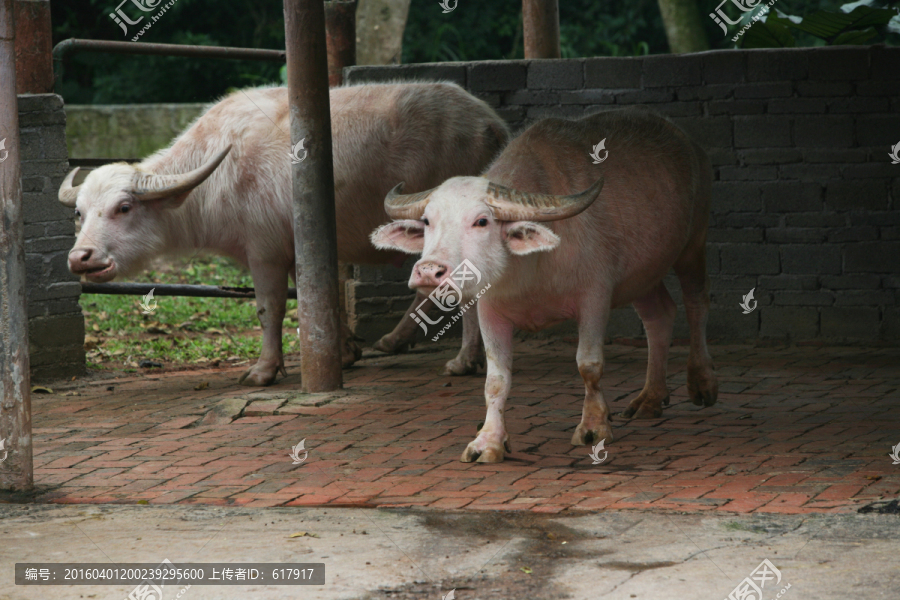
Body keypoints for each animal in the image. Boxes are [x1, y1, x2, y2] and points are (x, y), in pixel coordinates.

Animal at [59, 82, 510, 386]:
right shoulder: (298, 248)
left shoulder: (264, 252)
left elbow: (269, 308)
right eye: (79, 212)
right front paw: (344, 353)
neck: (219, 173)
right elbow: (319, 299)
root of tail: (489, 124)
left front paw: (263, 370)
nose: (81, 258)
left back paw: (464, 360)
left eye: (124, 208)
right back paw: (394, 341)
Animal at [370, 109, 716, 464]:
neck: (529, 270)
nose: (428, 271)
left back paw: (701, 382)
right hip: (643, 274)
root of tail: (690, 145)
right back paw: (650, 397)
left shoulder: (595, 297)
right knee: (659, 315)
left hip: (693, 244)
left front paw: (594, 427)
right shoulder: (490, 309)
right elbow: (496, 380)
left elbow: (589, 364)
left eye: (482, 221)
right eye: (427, 221)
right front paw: (488, 441)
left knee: (696, 301)